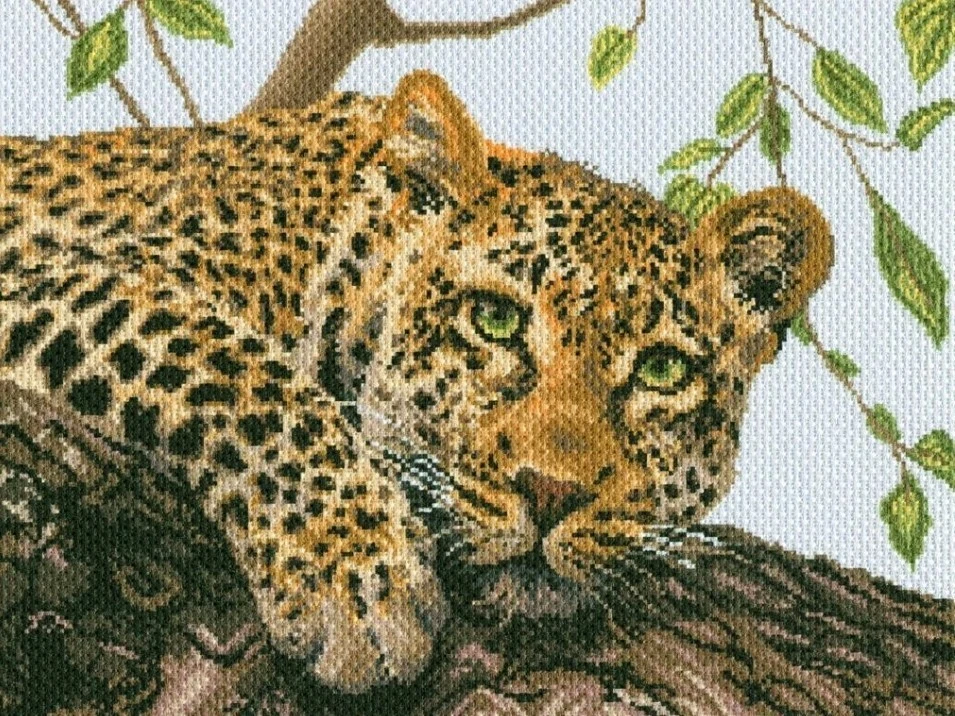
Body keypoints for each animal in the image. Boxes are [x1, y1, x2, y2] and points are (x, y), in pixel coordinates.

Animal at [0, 70, 833, 693]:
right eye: (493, 321)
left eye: (662, 369)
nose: (551, 494)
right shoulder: (42, 272)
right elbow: (235, 370)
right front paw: (359, 584)